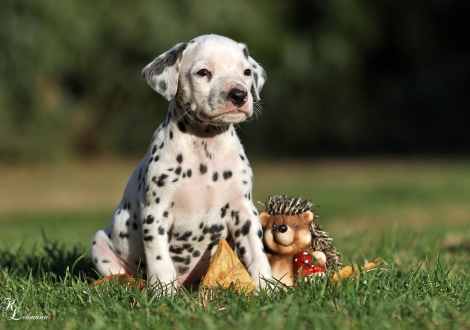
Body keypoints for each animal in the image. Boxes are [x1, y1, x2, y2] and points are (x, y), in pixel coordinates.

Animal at [90, 33, 272, 290]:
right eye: (203, 72)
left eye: (246, 72)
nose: (239, 95)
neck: (205, 146)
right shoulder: (155, 215)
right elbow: (160, 262)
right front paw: (164, 294)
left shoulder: (244, 212)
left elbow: (257, 254)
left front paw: (269, 288)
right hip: (100, 244)